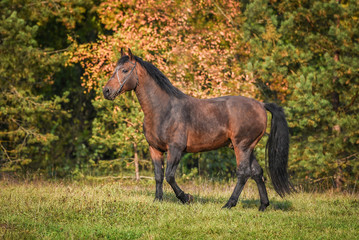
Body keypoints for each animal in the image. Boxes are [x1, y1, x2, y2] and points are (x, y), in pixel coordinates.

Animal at [102, 48, 294, 210]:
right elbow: (158, 175)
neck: (163, 110)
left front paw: (186, 198)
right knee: (257, 172)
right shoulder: (155, 149)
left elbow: (169, 176)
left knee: (243, 173)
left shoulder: (176, 149)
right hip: (248, 147)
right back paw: (263, 206)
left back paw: (229, 204)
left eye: (125, 70)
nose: (106, 91)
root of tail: (261, 105)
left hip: (242, 146)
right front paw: (158, 200)